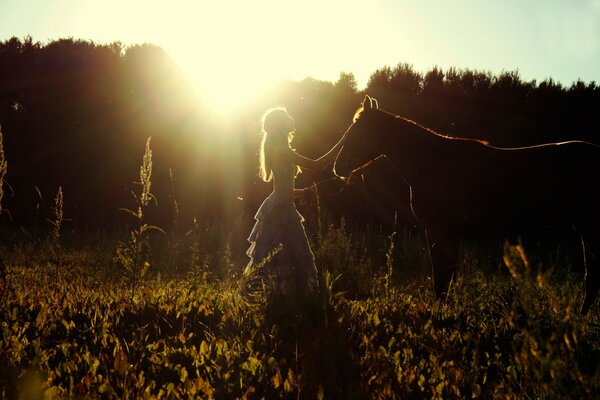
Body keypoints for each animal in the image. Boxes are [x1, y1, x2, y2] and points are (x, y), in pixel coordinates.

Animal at [336, 95, 596, 314]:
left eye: (358, 130)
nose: (338, 167)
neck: (433, 164)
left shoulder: (441, 231)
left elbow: (441, 278)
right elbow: (445, 276)